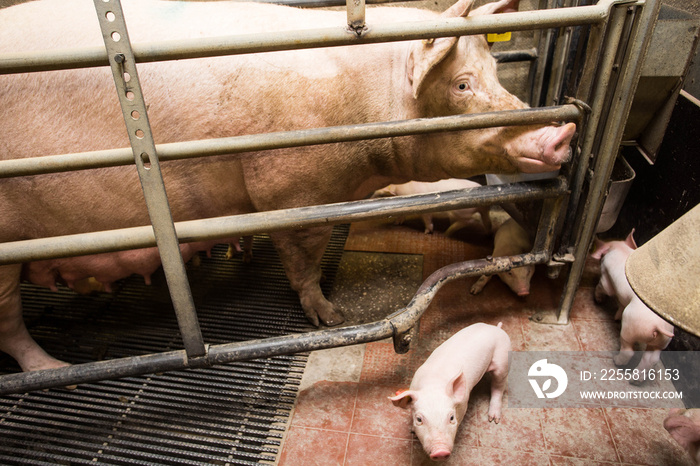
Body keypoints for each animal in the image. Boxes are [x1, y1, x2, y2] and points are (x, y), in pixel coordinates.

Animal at [0, 0, 576, 374]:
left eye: (496, 72)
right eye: (461, 85)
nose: (564, 132)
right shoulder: (291, 192)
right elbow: (304, 260)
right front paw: (331, 318)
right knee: (11, 327)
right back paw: (52, 369)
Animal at [388, 322, 508, 460]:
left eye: (451, 417)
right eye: (419, 419)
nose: (441, 452)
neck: (433, 385)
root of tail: (496, 328)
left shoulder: (463, 404)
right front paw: (412, 431)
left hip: (503, 357)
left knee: (499, 385)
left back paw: (493, 419)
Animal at [592, 231, 672, 376]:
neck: (620, 248)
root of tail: (658, 325)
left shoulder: (606, 277)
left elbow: (603, 288)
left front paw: (598, 301)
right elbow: (621, 304)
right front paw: (616, 317)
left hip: (631, 326)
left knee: (629, 350)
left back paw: (616, 361)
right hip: (662, 341)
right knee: (652, 358)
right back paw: (636, 378)